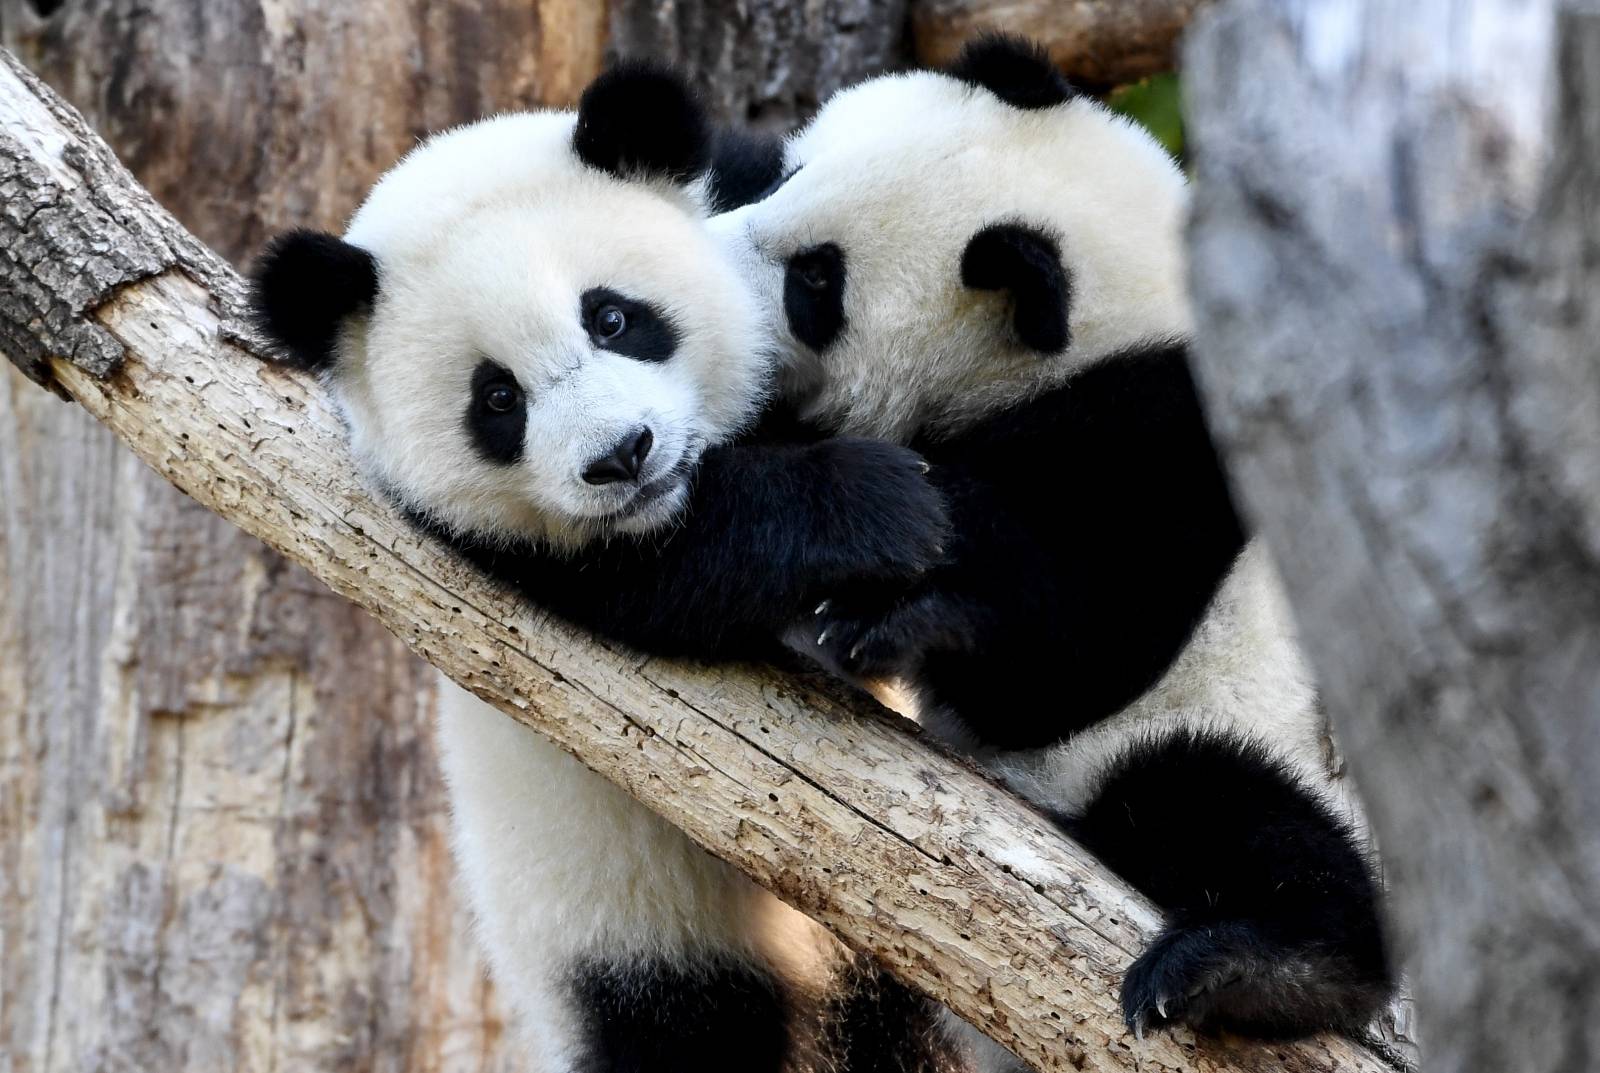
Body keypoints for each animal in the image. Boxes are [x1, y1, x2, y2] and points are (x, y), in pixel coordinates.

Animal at [716, 35, 1401, 1055]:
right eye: (791, 173)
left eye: (816, 282)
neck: (1118, 317)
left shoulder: (1167, 436)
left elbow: (1078, 653)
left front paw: (909, 616)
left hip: (1218, 738)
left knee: (1223, 802)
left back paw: (1267, 967)